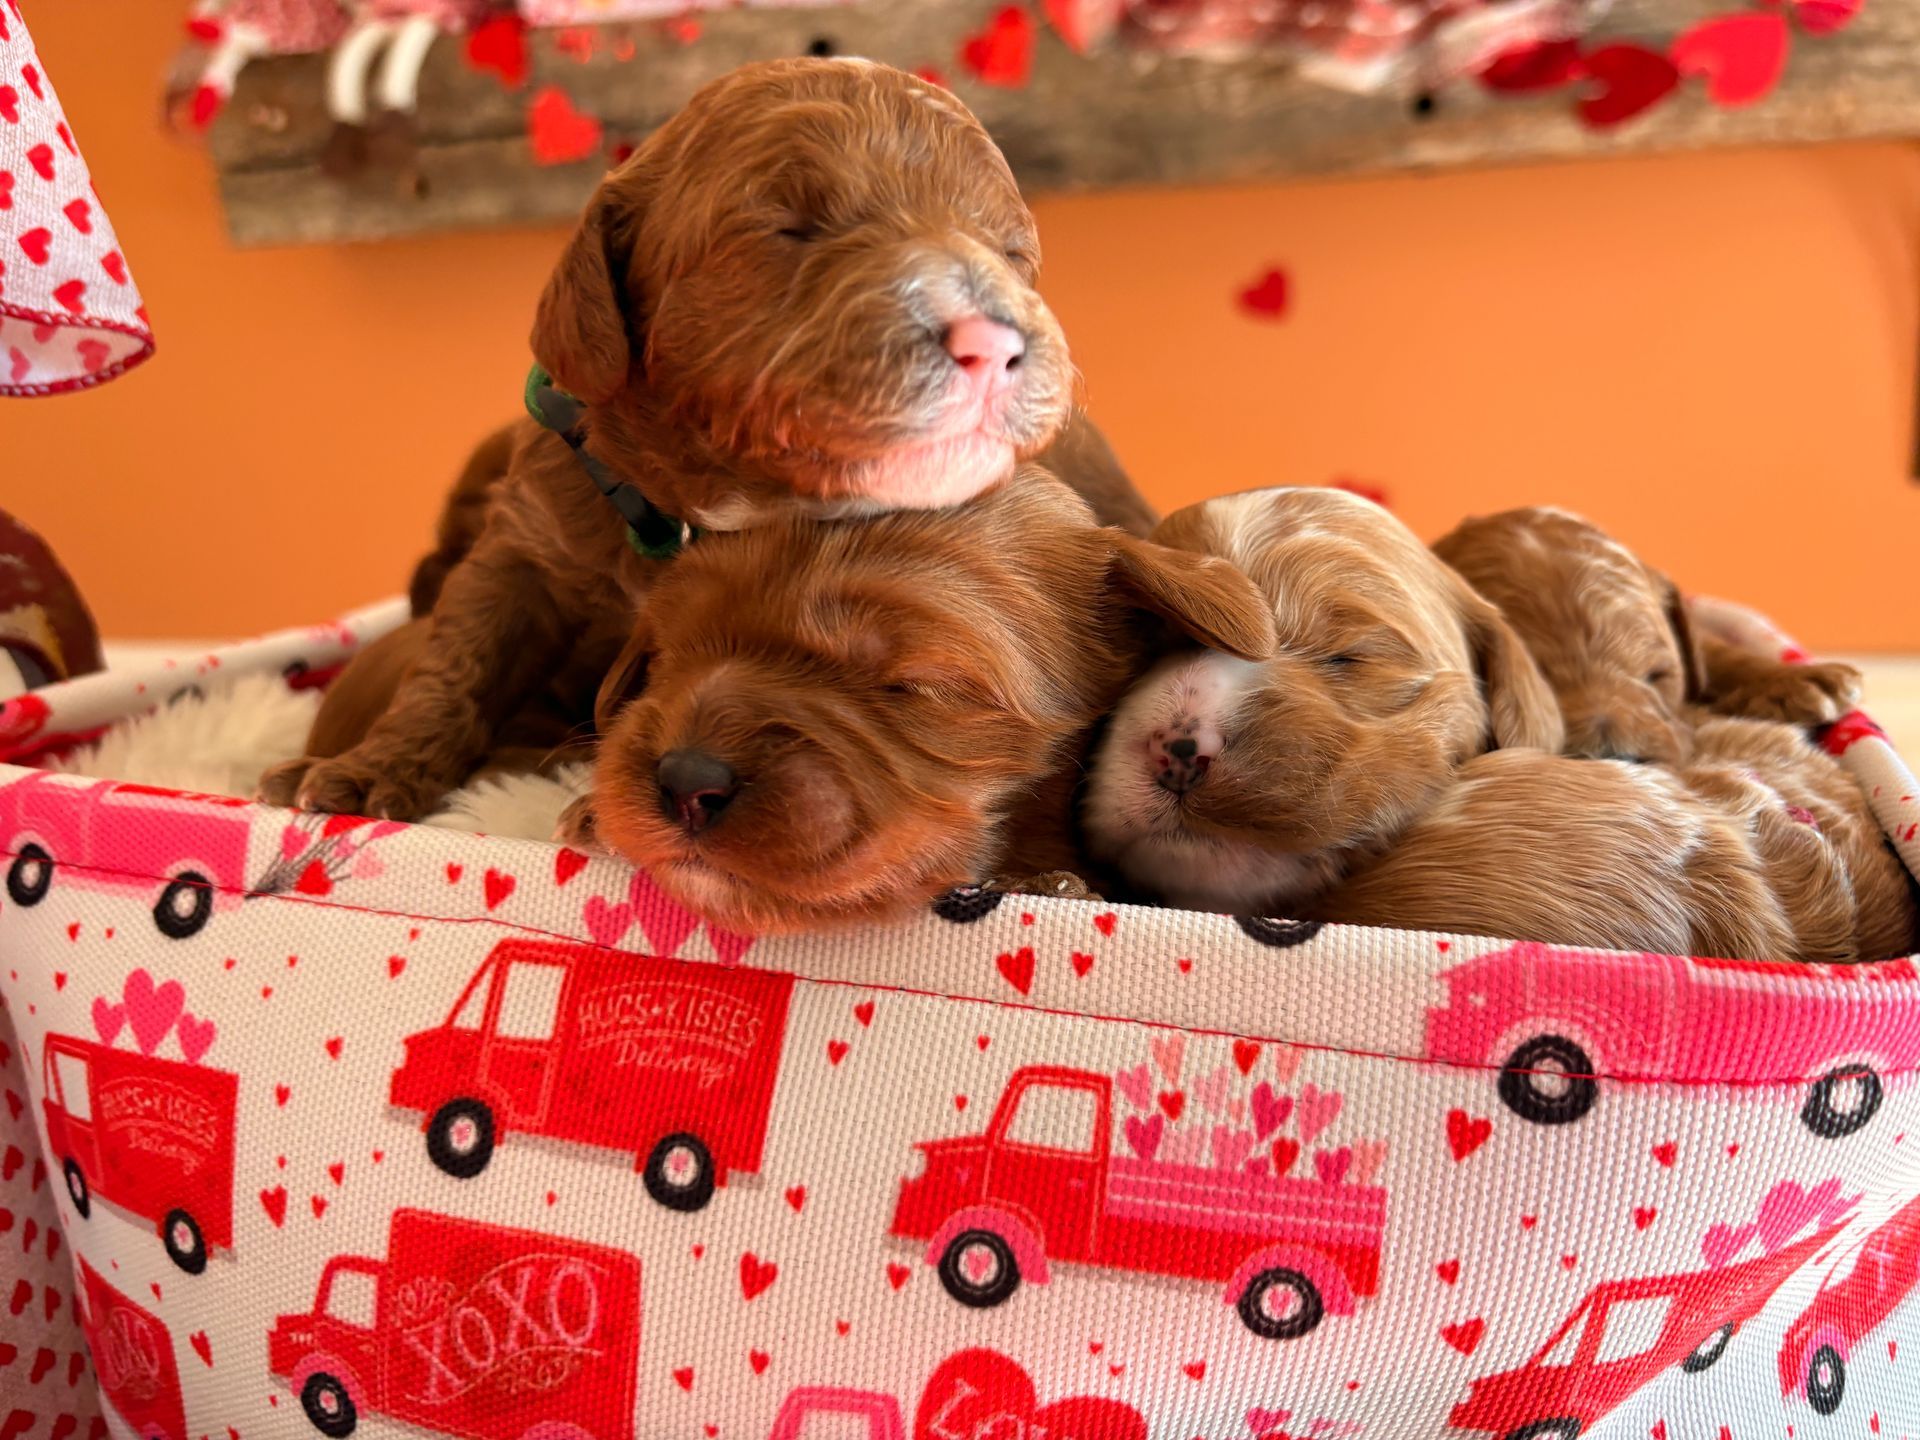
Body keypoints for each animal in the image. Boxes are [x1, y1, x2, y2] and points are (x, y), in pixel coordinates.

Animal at [261, 58, 1130, 821]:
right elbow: (459, 662)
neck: (694, 505)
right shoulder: (527, 541)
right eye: (790, 228)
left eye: (1012, 249)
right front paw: (367, 773)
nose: (991, 342)